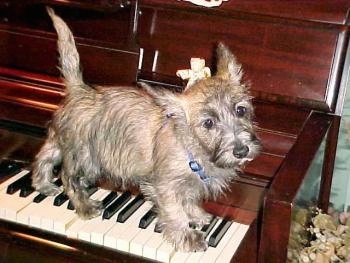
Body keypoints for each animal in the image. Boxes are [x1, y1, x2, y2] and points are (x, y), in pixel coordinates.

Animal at [31, 7, 262, 253]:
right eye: (208, 123)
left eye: (240, 110)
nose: (241, 151)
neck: (193, 149)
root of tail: (80, 89)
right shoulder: (165, 186)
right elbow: (175, 211)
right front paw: (187, 236)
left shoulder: (186, 184)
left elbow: (188, 200)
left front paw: (196, 215)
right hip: (85, 156)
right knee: (67, 177)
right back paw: (84, 205)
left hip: (61, 141)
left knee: (43, 157)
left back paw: (43, 184)